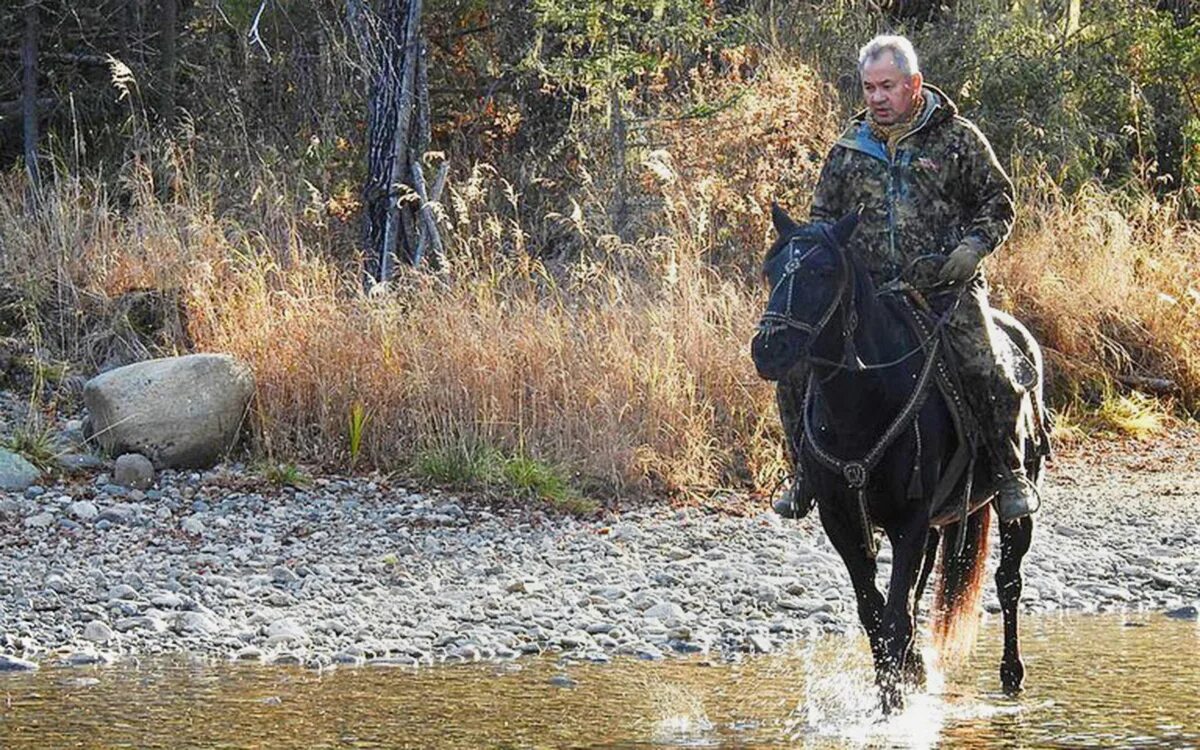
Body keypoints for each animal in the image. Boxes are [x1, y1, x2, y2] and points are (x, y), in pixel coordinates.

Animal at [744, 206, 1046, 715]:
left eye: (823, 272)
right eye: (771, 271)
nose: (769, 350)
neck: (863, 401)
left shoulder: (910, 521)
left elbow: (893, 619)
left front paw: (893, 707)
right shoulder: (844, 522)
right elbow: (875, 613)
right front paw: (899, 685)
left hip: (1010, 506)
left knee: (1008, 582)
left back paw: (1012, 673)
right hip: (936, 525)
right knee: (920, 592)